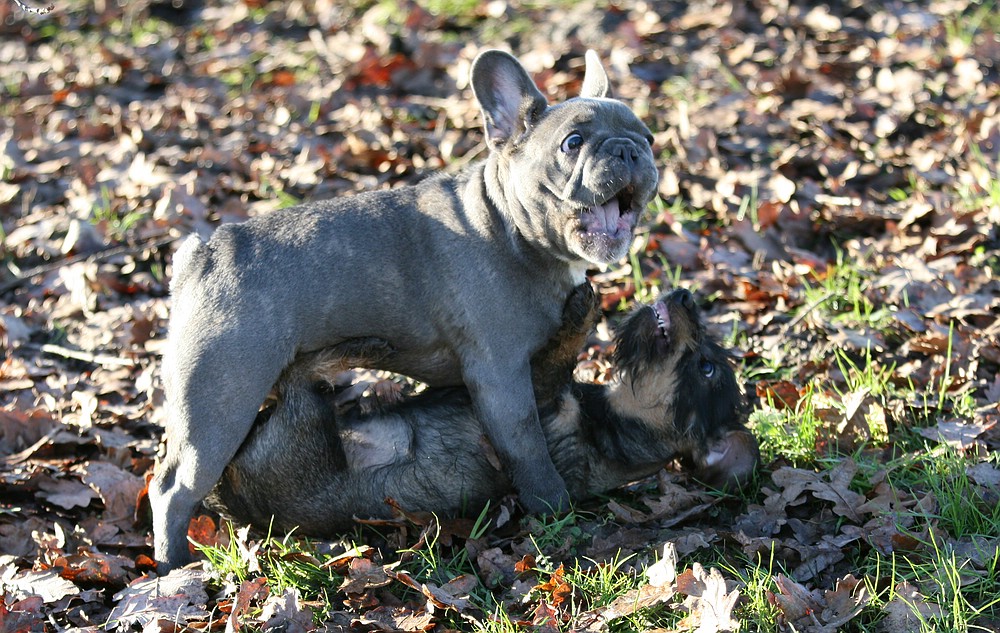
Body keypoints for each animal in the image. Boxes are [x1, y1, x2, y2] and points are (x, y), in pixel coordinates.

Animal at [152, 50, 660, 568]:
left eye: (648, 138)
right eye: (572, 143)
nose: (628, 150)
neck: (510, 227)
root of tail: (199, 255)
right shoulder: (500, 376)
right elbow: (527, 444)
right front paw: (555, 511)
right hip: (219, 404)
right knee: (174, 488)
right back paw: (173, 564)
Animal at [207, 286, 756, 532]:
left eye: (707, 367)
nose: (685, 293)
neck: (608, 420)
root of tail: (232, 501)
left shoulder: (528, 398)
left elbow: (558, 352)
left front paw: (582, 307)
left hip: (308, 430)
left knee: (300, 375)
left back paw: (363, 349)